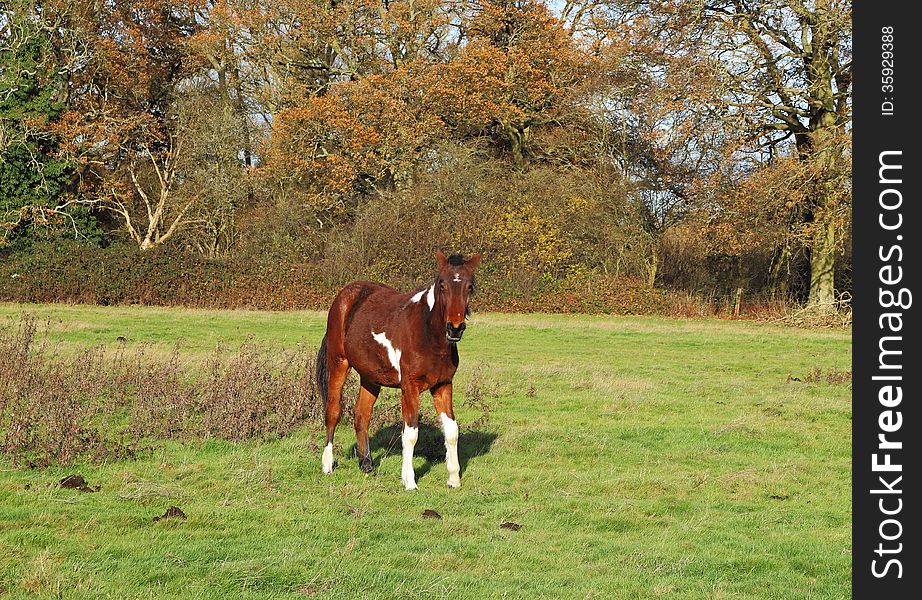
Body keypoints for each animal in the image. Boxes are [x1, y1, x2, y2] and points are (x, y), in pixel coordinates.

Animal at [314, 251, 478, 490]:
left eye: (470, 286)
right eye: (442, 285)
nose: (454, 328)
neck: (428, 334)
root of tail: (344, 297)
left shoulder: (443, 384)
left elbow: (452, 431)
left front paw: (453, 479)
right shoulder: (409, 387)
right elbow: (410, 433)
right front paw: (409, 481)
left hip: (370, 376)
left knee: (361, 414)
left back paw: (366, 464)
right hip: (338, 363)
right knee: (333, 412)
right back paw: (327, 465)